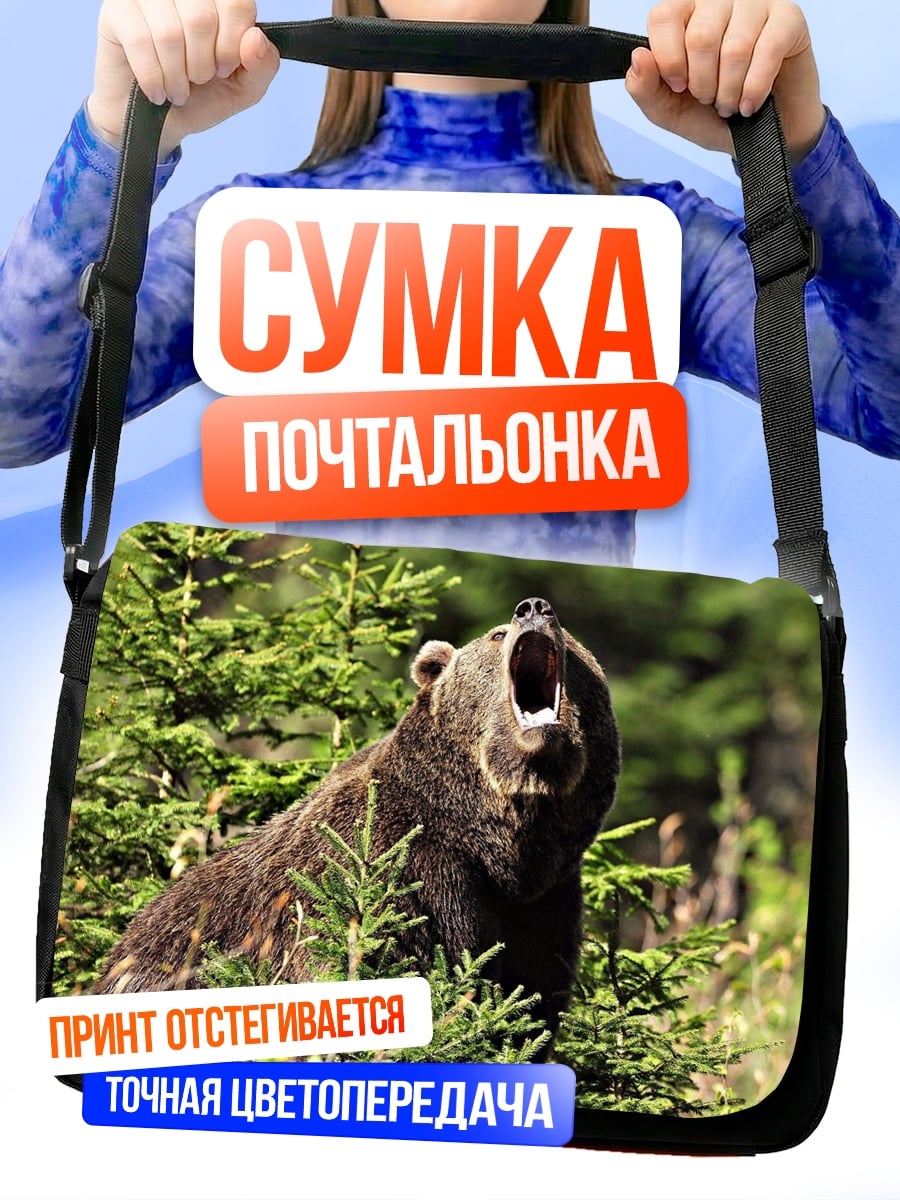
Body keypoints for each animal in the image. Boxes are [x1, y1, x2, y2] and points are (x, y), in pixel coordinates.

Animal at [93, 596, 621, 1035]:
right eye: (495, 635)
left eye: (572, 642)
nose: (534, 608)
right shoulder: (391, 870)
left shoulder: (543, 905)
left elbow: (527, 1006)